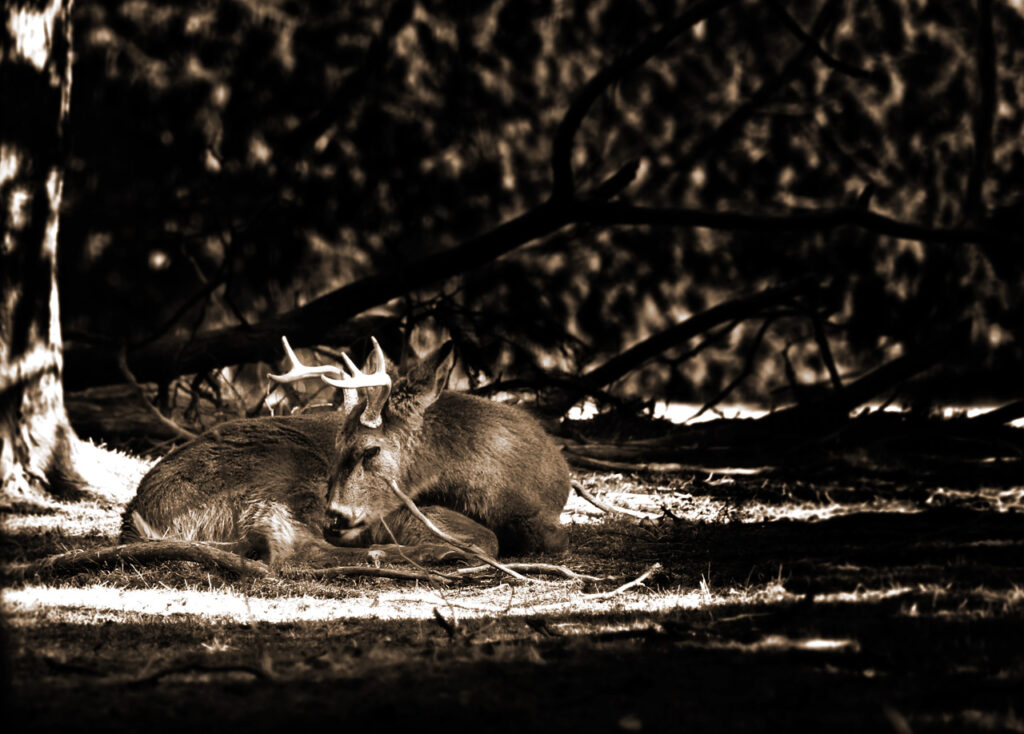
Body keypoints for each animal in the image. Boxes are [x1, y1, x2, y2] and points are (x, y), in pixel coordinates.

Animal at [120, 335, 573, 565]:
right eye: (337, 445)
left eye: (370, 451)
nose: (336, 514)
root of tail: (137, 516)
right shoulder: (398, 511)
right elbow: (486, 538)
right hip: (281, 472)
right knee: (291, 545)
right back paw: (426, 553)